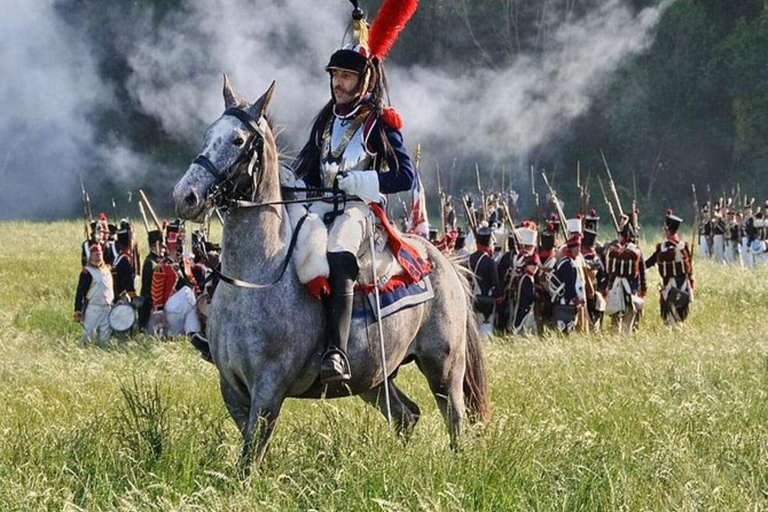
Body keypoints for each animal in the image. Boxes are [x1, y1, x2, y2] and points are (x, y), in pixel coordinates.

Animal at [172, 77, 492, 472]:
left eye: (238, 140)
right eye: (207, 134)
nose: (185, 196)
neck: (256, 278)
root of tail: (442, 261)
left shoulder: (268, 388)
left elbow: (251, 457)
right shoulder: (231, 388)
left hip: (444, 368)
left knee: (455, 419)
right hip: (375, 378)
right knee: (407, 416)